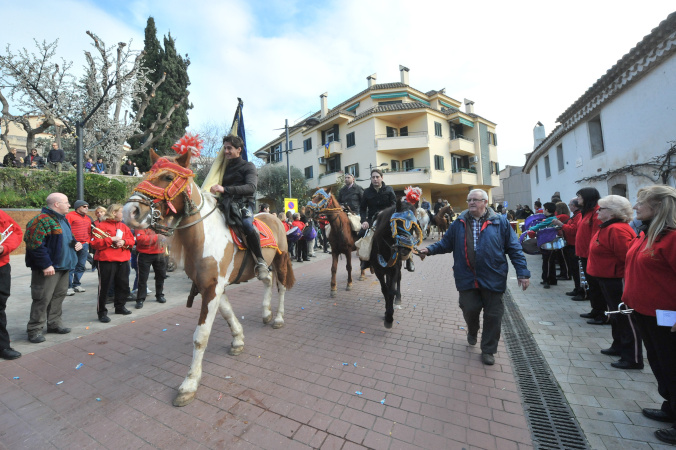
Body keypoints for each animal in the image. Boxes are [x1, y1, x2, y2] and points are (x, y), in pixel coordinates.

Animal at [121, 149, 294, 408]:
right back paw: (265, 312)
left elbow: (200, 336)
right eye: (147, 173)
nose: (129, 211)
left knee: (281, 287)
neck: (204, 235)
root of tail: (274, 217)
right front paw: (238, 340)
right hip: (263, 265)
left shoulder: (213, 287)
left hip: (281, 260)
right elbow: (228, 313)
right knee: (266, 281)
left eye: (167, 177)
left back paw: (279, 318)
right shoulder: (210, 286)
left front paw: (189, 384)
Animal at [370, 197, 422, 326]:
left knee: (398, 280)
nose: (405, 249)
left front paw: (389, 316)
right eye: (398, 222)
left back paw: (397, 299)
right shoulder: (378, 271)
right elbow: (385, 290)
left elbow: (391, 290)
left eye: (414, 226)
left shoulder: (395, 268)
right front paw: (387, 313)